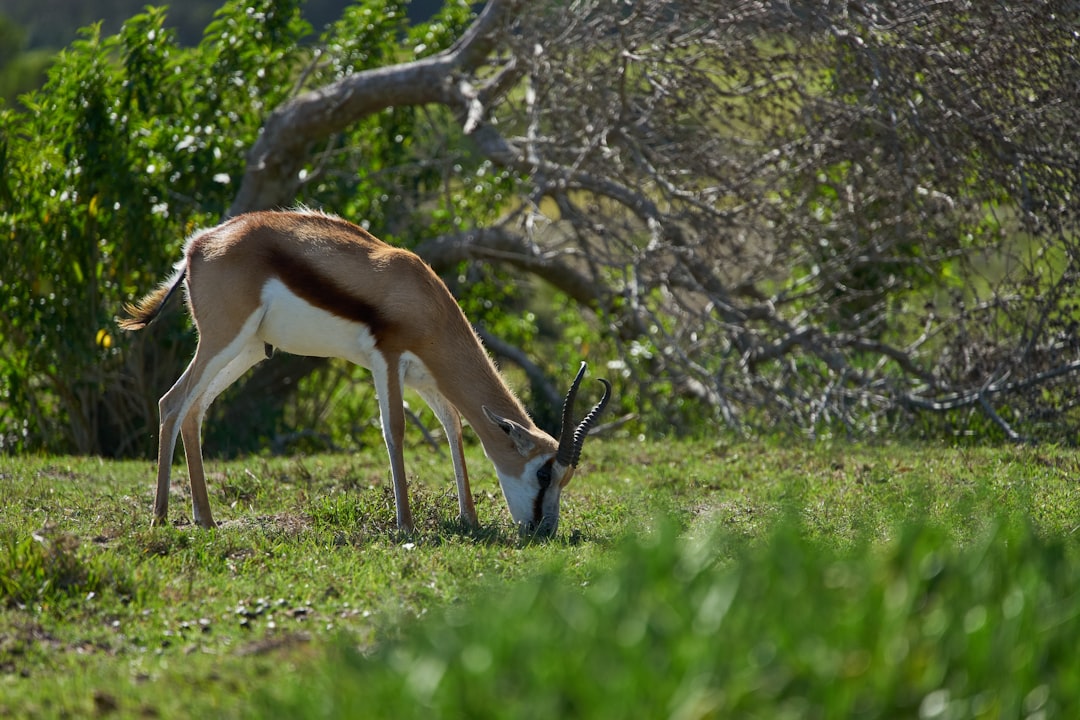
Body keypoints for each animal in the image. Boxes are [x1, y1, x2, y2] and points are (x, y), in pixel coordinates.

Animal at [122, 208, 613, 535]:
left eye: (566, 478)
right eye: (544, 473)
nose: (544, 529)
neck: (421, 298)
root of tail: (198, 246)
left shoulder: (427, 378)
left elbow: (453, 428)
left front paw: (469, 518)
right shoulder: (388, 361)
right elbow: (394, 430)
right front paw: (406, 525)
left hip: (248, 350)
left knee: (194, 409)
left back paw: (205, 519)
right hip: (222, 339)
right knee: (172, 402)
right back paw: (161, 517)